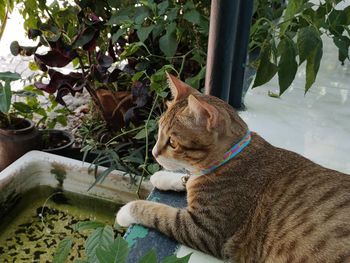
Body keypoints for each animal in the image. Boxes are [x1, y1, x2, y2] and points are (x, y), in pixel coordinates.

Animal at [115, 73, 350, 262]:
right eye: (158, 132)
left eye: (172, 142)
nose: (154, 152)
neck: (232, 158)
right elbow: (187, 179)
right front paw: (164, 177)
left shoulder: (205, 229)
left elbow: (159, 212)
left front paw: (127, 211)